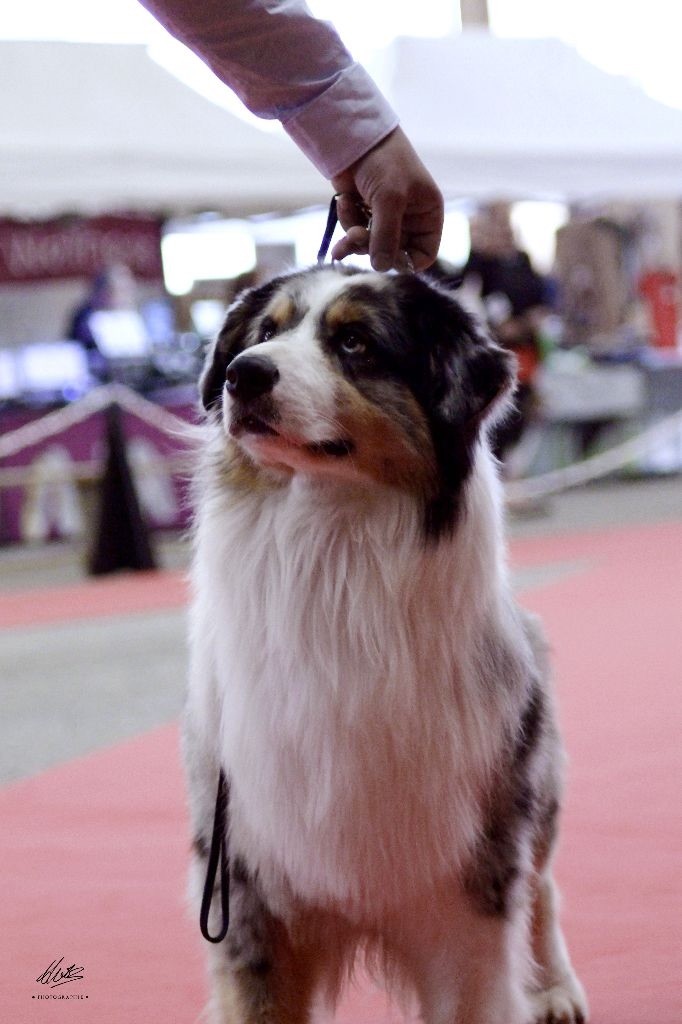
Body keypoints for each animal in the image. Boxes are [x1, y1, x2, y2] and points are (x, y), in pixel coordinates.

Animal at [184, 266, 585, 1024]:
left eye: (356, 344)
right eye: (265, 332)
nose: (243, 374)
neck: (331, 558)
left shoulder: (468, 900)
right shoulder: (248, 891)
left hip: (533, 791)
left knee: (543, 887)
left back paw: (555, 989)